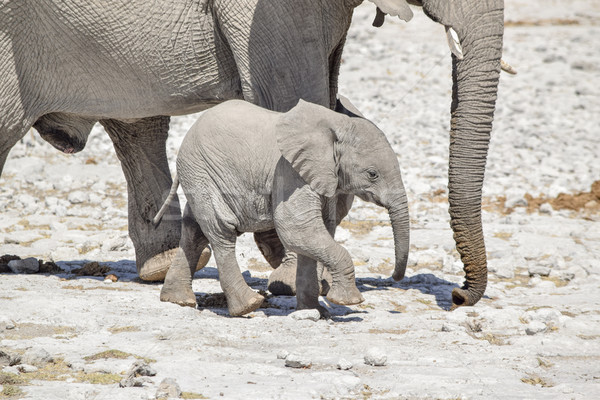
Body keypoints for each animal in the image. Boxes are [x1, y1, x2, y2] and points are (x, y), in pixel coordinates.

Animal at [154, 99, 412, 316]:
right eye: (372, 174)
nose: (395, 277)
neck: (336, 123)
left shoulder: (323, 176)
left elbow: (317, 233)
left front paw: (315, 312)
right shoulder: (289, 171)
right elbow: (296, 229)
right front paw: (348, 301)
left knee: (194, 231)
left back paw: (178, 300)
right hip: (202, 172)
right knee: (221, 231)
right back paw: (248, 306)